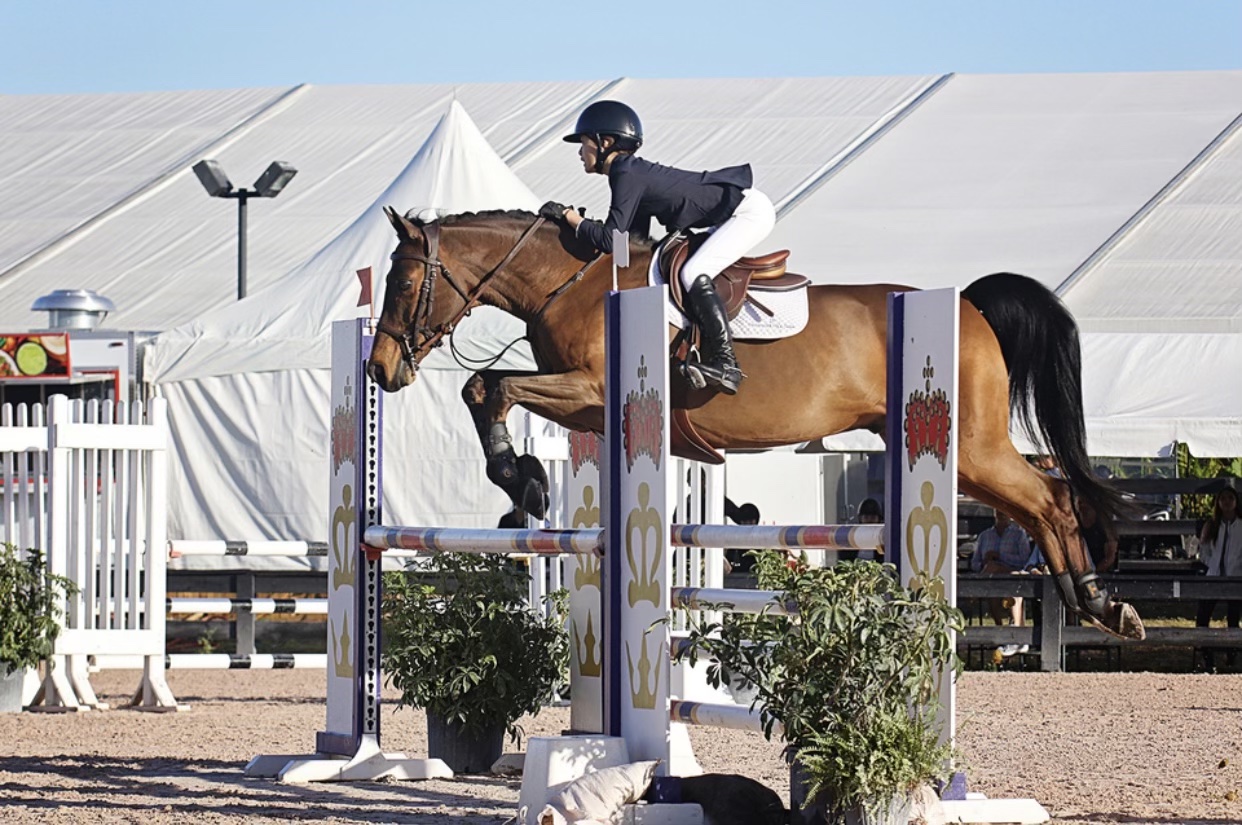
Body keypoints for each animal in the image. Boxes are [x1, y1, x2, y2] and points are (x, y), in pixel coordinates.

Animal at [366, 206, 1144, 641]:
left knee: (1052, 497)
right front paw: (525, 479)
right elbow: (485, 387)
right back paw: (1096, 603)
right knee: (1045, 501)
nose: (379, 369)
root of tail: (970, 305)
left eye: (402, 281)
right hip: (961, 453)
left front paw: (519, 478)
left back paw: (1099, 601)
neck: (574, 281)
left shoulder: (589, 387)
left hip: (974, 448)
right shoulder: (587, 404)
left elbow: (488, 386)